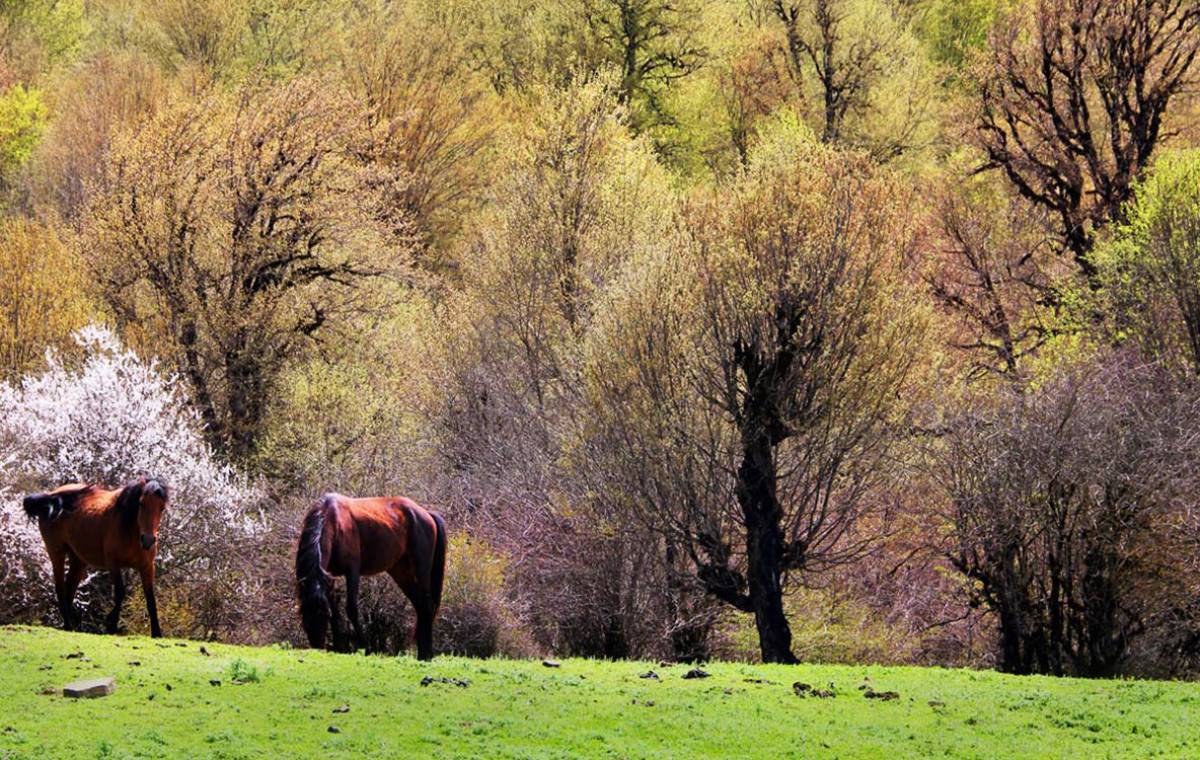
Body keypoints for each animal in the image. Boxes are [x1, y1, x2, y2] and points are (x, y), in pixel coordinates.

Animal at [21, 477, 169, 638]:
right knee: (60, 588)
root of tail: (52, 496)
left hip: (78, 560)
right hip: (56, 552)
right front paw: (111, 624)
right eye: (141, 503)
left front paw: (157, 633)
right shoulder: (113, 564)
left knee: (69, 589)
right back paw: (68, 625)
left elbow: (150, 599)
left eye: (162, 508)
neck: (129, 529)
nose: (148, 540)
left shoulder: (147, 566)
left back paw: (69, 626)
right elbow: (120, 593)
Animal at [297, 494, 448, 662]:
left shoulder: (352, 571)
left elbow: (351, 609)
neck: (334, 521)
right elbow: (336, 612)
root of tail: (426, 514)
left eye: (323, 614)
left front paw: (366, 648)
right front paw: (340, 647)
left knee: (427, 605)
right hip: (401, 573)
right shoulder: (328, 577)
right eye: (304, 614)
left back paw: (426, 654)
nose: (316, 647)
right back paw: (423, 652)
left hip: (422, 570)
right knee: (420, 605)